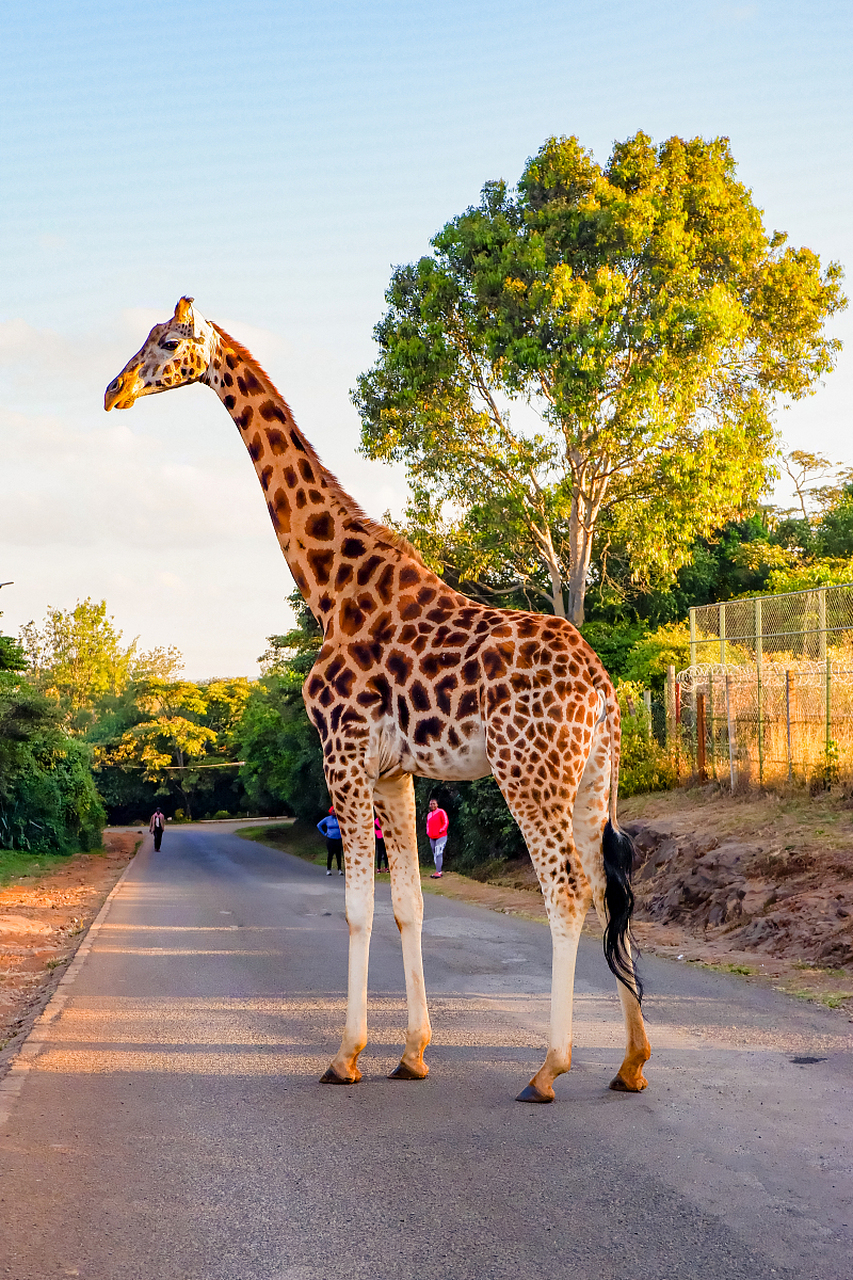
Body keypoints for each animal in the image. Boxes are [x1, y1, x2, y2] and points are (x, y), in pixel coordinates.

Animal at [106, 296, 650, 1100]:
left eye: (169, 343)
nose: (113, 391)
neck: (332, 591)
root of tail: (602, 688)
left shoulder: (344, 750)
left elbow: (358, 909)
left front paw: (345, 1055)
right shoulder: (396, 771)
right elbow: (408, 907)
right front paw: (413, 1053)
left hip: (528, 771)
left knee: (568, 890)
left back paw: (548, 1068)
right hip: (591, 778)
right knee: (613, 890)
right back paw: (631, 1063)